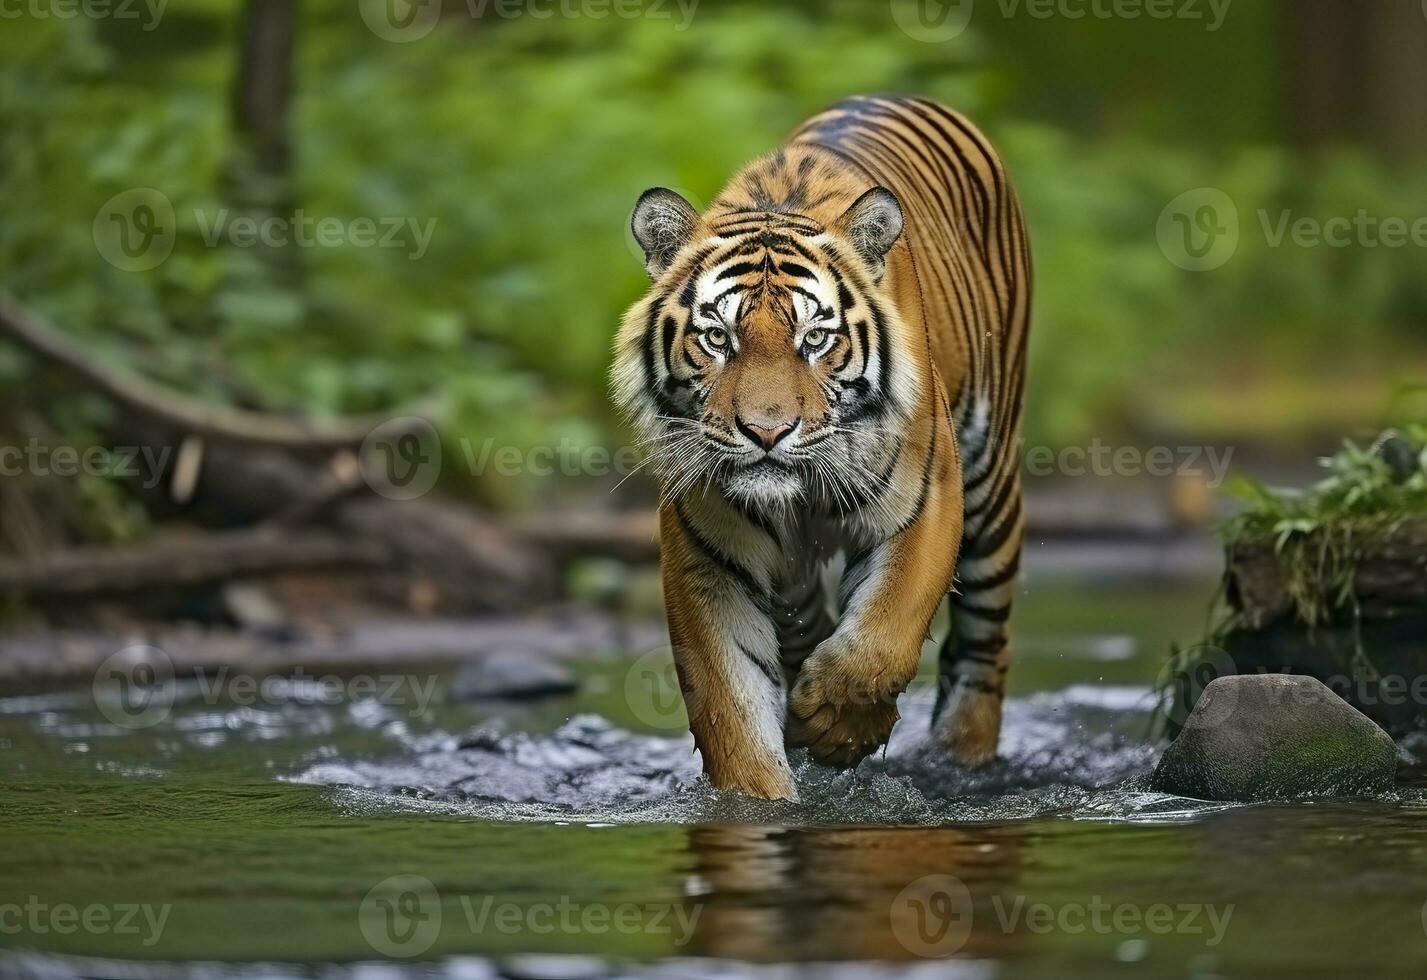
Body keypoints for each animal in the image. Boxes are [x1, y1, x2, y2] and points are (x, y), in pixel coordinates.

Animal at [610, 92, 1027, 798]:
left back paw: (963, 756)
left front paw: (834, 722)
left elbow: (882, 637)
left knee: (983, 646)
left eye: (814, 339)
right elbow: (732, 708)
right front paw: (766, 792)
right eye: (718, 338)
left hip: (991, 487)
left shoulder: (927, 499)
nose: (766, 432)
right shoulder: (707, 557)